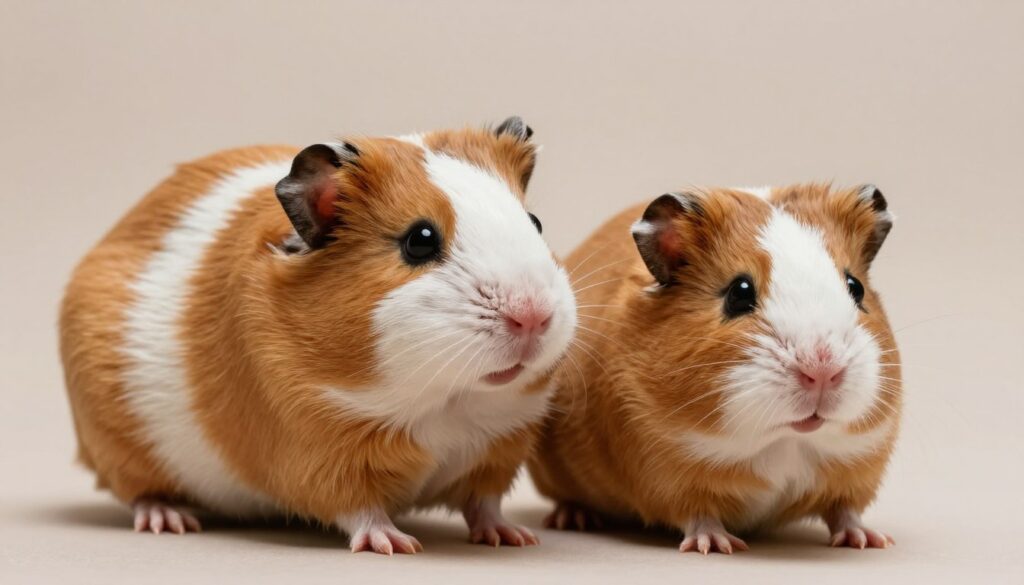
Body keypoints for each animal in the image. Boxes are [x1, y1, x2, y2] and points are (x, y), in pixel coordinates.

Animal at [59, 117, 577, 554]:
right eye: (420, 240)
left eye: (535, 224)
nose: (532, 316)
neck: (443, 403)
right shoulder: (318, 453)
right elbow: (358, 509)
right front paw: (396, 545)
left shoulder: (499, 447)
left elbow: (484, 503)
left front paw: (514, 538)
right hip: (122, 450)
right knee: (141, 493)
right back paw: (170, 521)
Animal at [529, 184, 900, 554]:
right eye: (740, 292)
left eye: (855, 287)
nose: (823, 370)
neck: (785, 442)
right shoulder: (668, 479)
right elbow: (699, 516)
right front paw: (719, 545)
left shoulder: (856, 473)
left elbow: (845, 511)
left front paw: (870, 541)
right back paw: (573, 519)